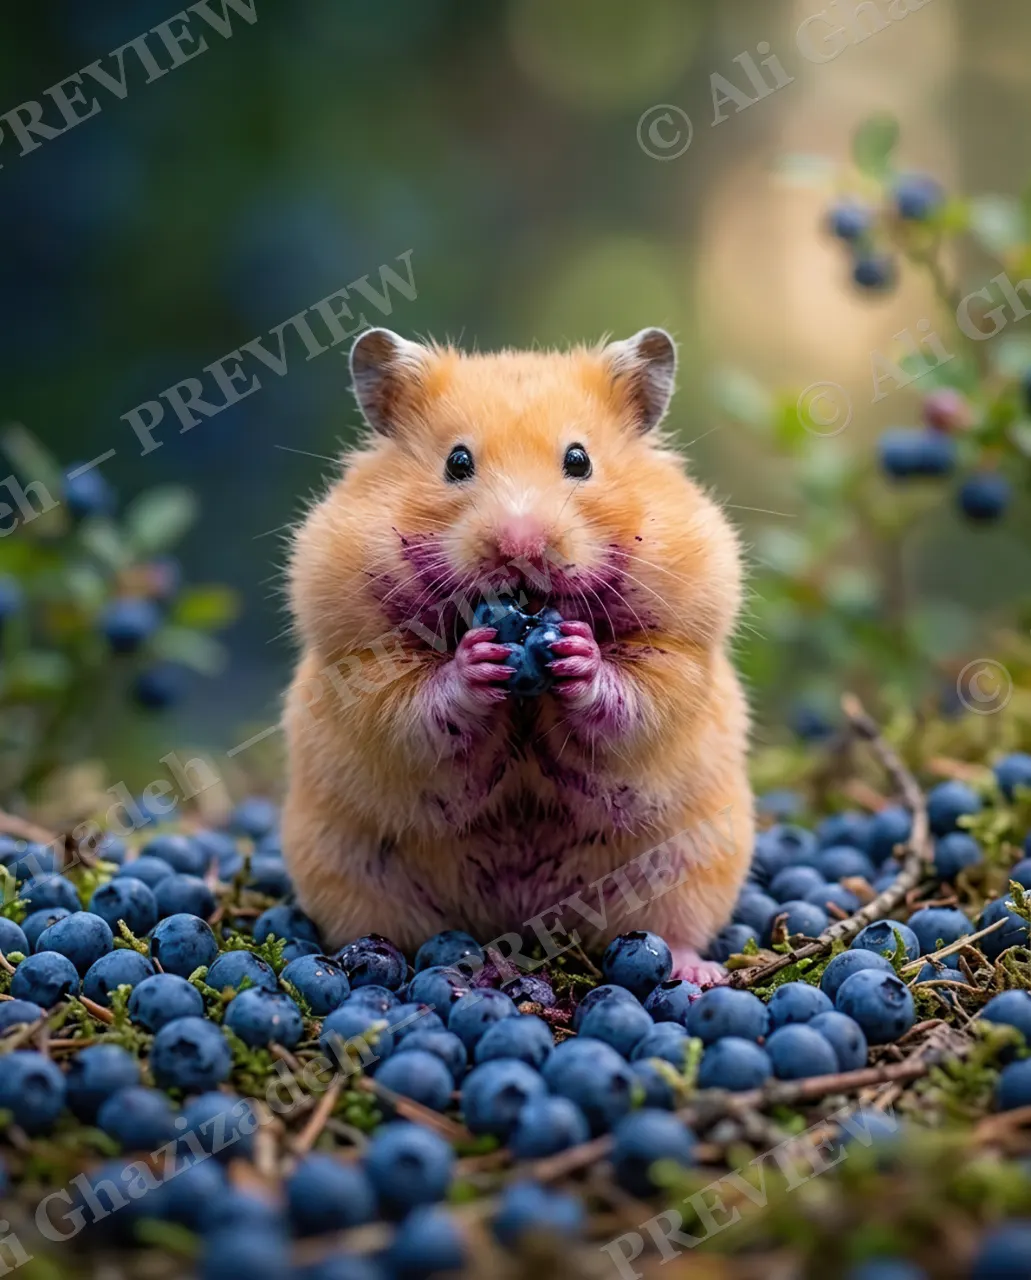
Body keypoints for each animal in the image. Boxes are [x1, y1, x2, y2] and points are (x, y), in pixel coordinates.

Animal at [281, 326, 753, 986]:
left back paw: (696, 975)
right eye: (457, 462)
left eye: (579, 459)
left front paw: (576, 654)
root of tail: (525, 923)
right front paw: (478, 660)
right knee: (387, 937)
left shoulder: (679, 650)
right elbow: (416, 704)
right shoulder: (361, 664)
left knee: (672, 930)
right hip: (344, 864)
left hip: (689, 860)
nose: (520, 546)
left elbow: (635, 696)